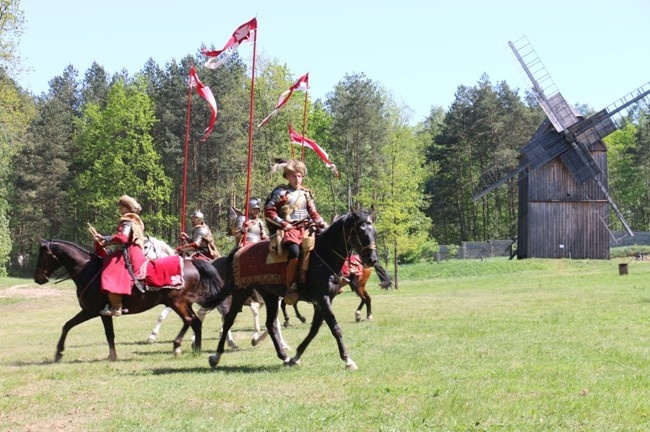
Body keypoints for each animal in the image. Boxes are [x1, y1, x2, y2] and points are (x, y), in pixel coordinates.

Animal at [34, 238, 223, 362]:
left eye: (43, 255)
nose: (38, 279)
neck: (88, 270)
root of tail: (191, 263)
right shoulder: (96, 312)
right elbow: (71, 326)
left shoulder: (94, 311)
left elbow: (96, 331)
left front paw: (59, 352)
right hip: (181, 303)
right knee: (194, 321)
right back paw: (190, 348)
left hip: (178, 303)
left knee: (192, 320)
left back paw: (187, 348)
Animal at [204, 208, 380, 370]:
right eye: (361, 231)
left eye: (374, 231)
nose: (372, 259)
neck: (323, 255)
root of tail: (239, 251)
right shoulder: (322, 299)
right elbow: (335, 327)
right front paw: (348, 360)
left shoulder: (322, 301)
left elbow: (314, 330)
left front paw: (296, 356)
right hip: (241, 292)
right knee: (229, 320)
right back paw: (216, 356)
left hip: (270, 296)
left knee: (270, 324)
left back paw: (284, 356)